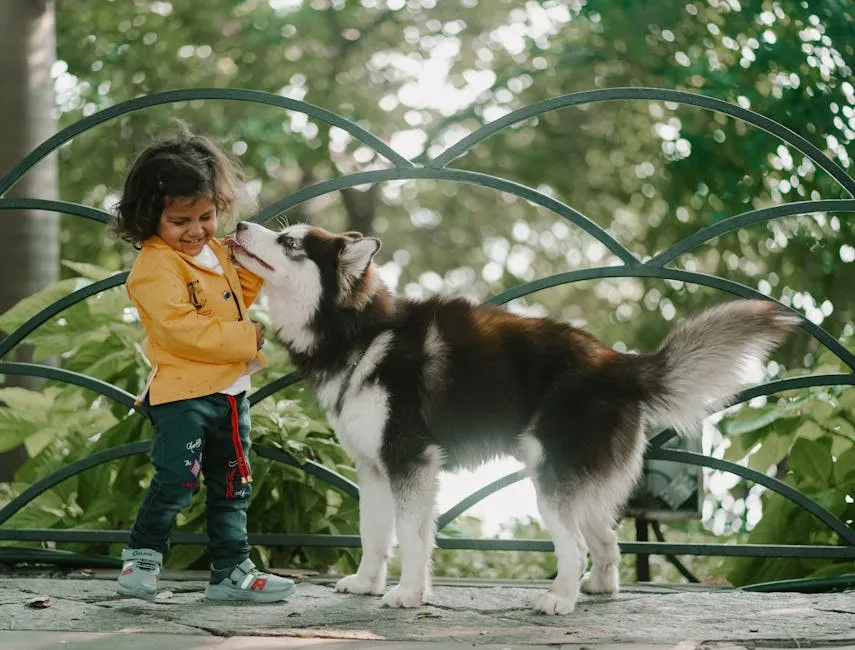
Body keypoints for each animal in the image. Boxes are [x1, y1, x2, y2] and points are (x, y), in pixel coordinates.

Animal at [226, 221, 796, 612]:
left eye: (289, 243)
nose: (240, 224)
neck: (361, 333)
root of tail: (617, 362)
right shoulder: (374, 470)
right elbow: (375, 536)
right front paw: (369, 584)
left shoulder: (411, 462)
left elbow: (411, 536)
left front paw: (408, 593)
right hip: (580, 484)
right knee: (606, 540)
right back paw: (598, 588)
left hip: (548, 479)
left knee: (575, 547)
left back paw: (560, 599)